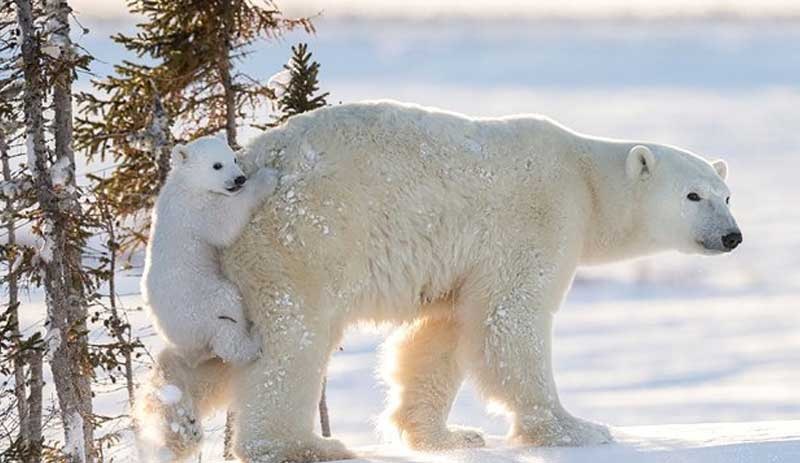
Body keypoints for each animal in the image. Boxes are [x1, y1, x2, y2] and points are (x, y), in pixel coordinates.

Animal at [143, 136, 278, 368]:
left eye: (233, 158)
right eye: (217, 165)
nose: (240, 179)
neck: (186, 184)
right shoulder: (194, 211)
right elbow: (224, 222)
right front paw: (266, 177)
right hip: (201, 301)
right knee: (226, 312)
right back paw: (254, 340)